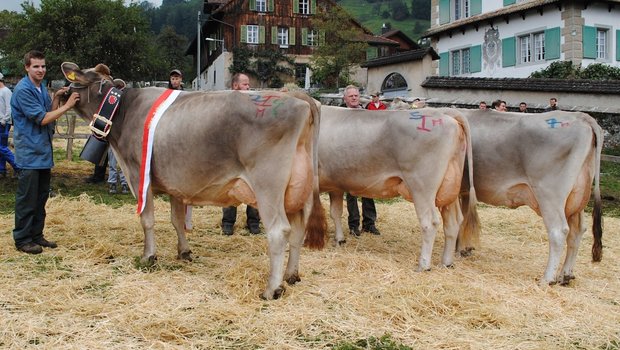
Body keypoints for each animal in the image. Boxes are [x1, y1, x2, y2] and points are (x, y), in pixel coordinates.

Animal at [60, 62, 326, 298]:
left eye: (72, 81)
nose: (62, 95)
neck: (123, 111)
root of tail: (298, 97)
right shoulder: (175, 185)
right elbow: (177, 221)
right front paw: (184, 252)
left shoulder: (138, 176)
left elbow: (147, 220)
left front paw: (148, 256)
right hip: (298, 191)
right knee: (298, 230)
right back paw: (291, 275)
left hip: (268, 187)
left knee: (279, 231)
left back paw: (272, 288)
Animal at [318, 104, 478, 270]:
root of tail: (444, 112)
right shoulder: (335, 186)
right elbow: (335, 212)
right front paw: (339, 239)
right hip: (449, 188)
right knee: (453, 222)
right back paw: (446, 262)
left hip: (421, 187)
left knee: (430, 222)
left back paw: (423, 265)